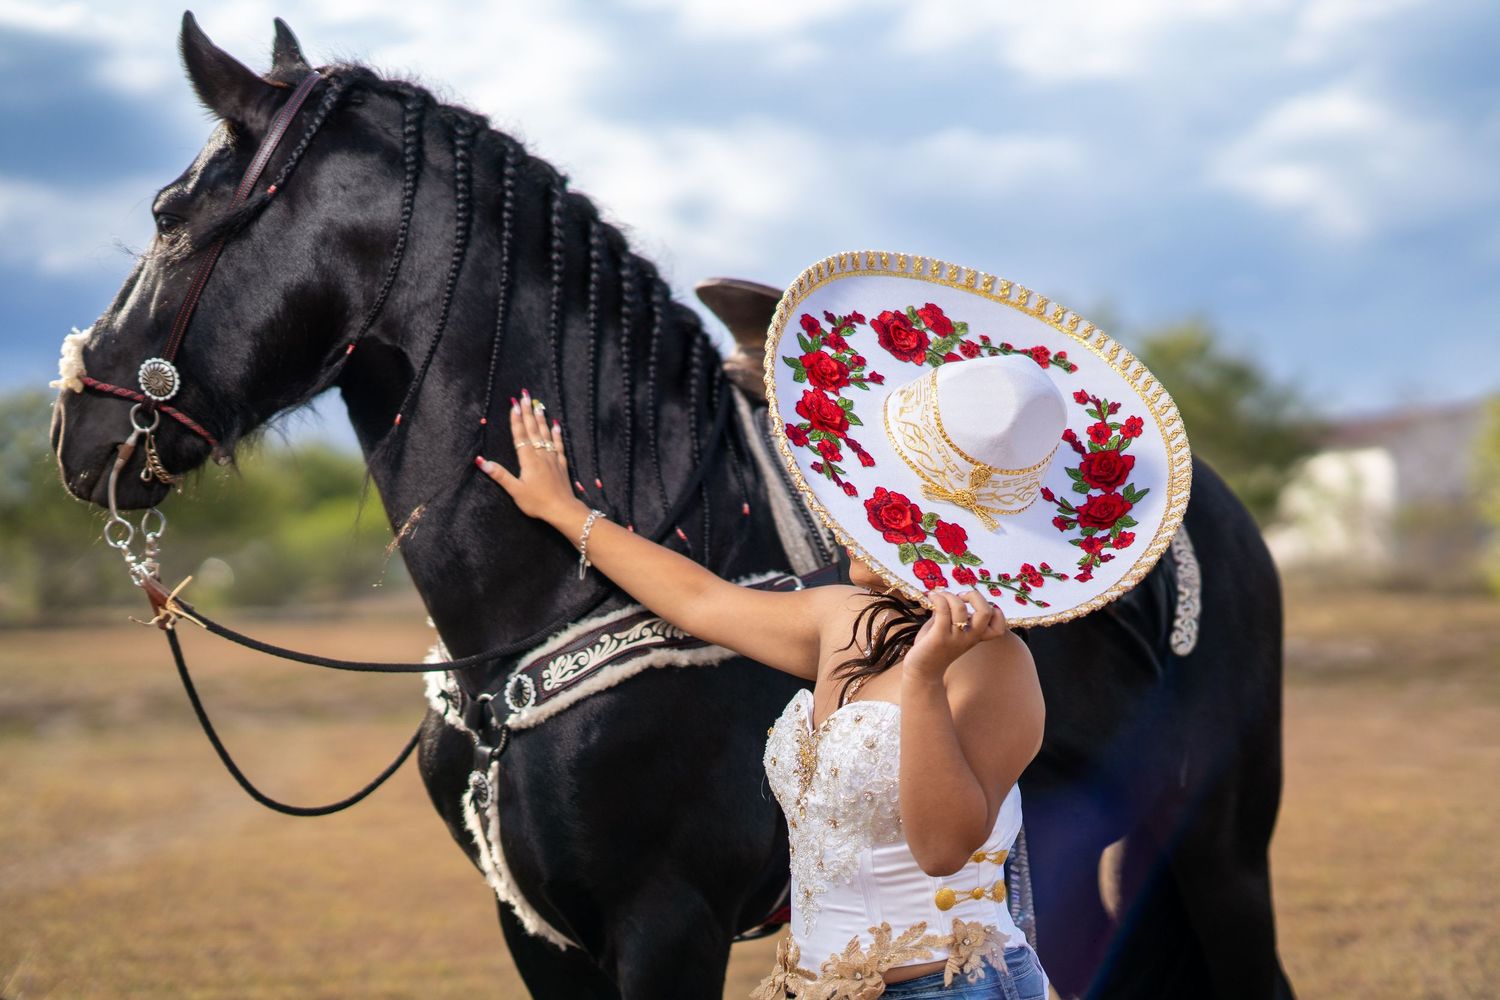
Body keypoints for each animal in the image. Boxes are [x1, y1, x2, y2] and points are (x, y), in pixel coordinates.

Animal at [50, 15, 1294, 999]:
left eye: (168, 214)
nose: (77, 430)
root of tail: (1223, 516)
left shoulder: (667, 923)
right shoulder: (540, 936)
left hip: (1218, 851)